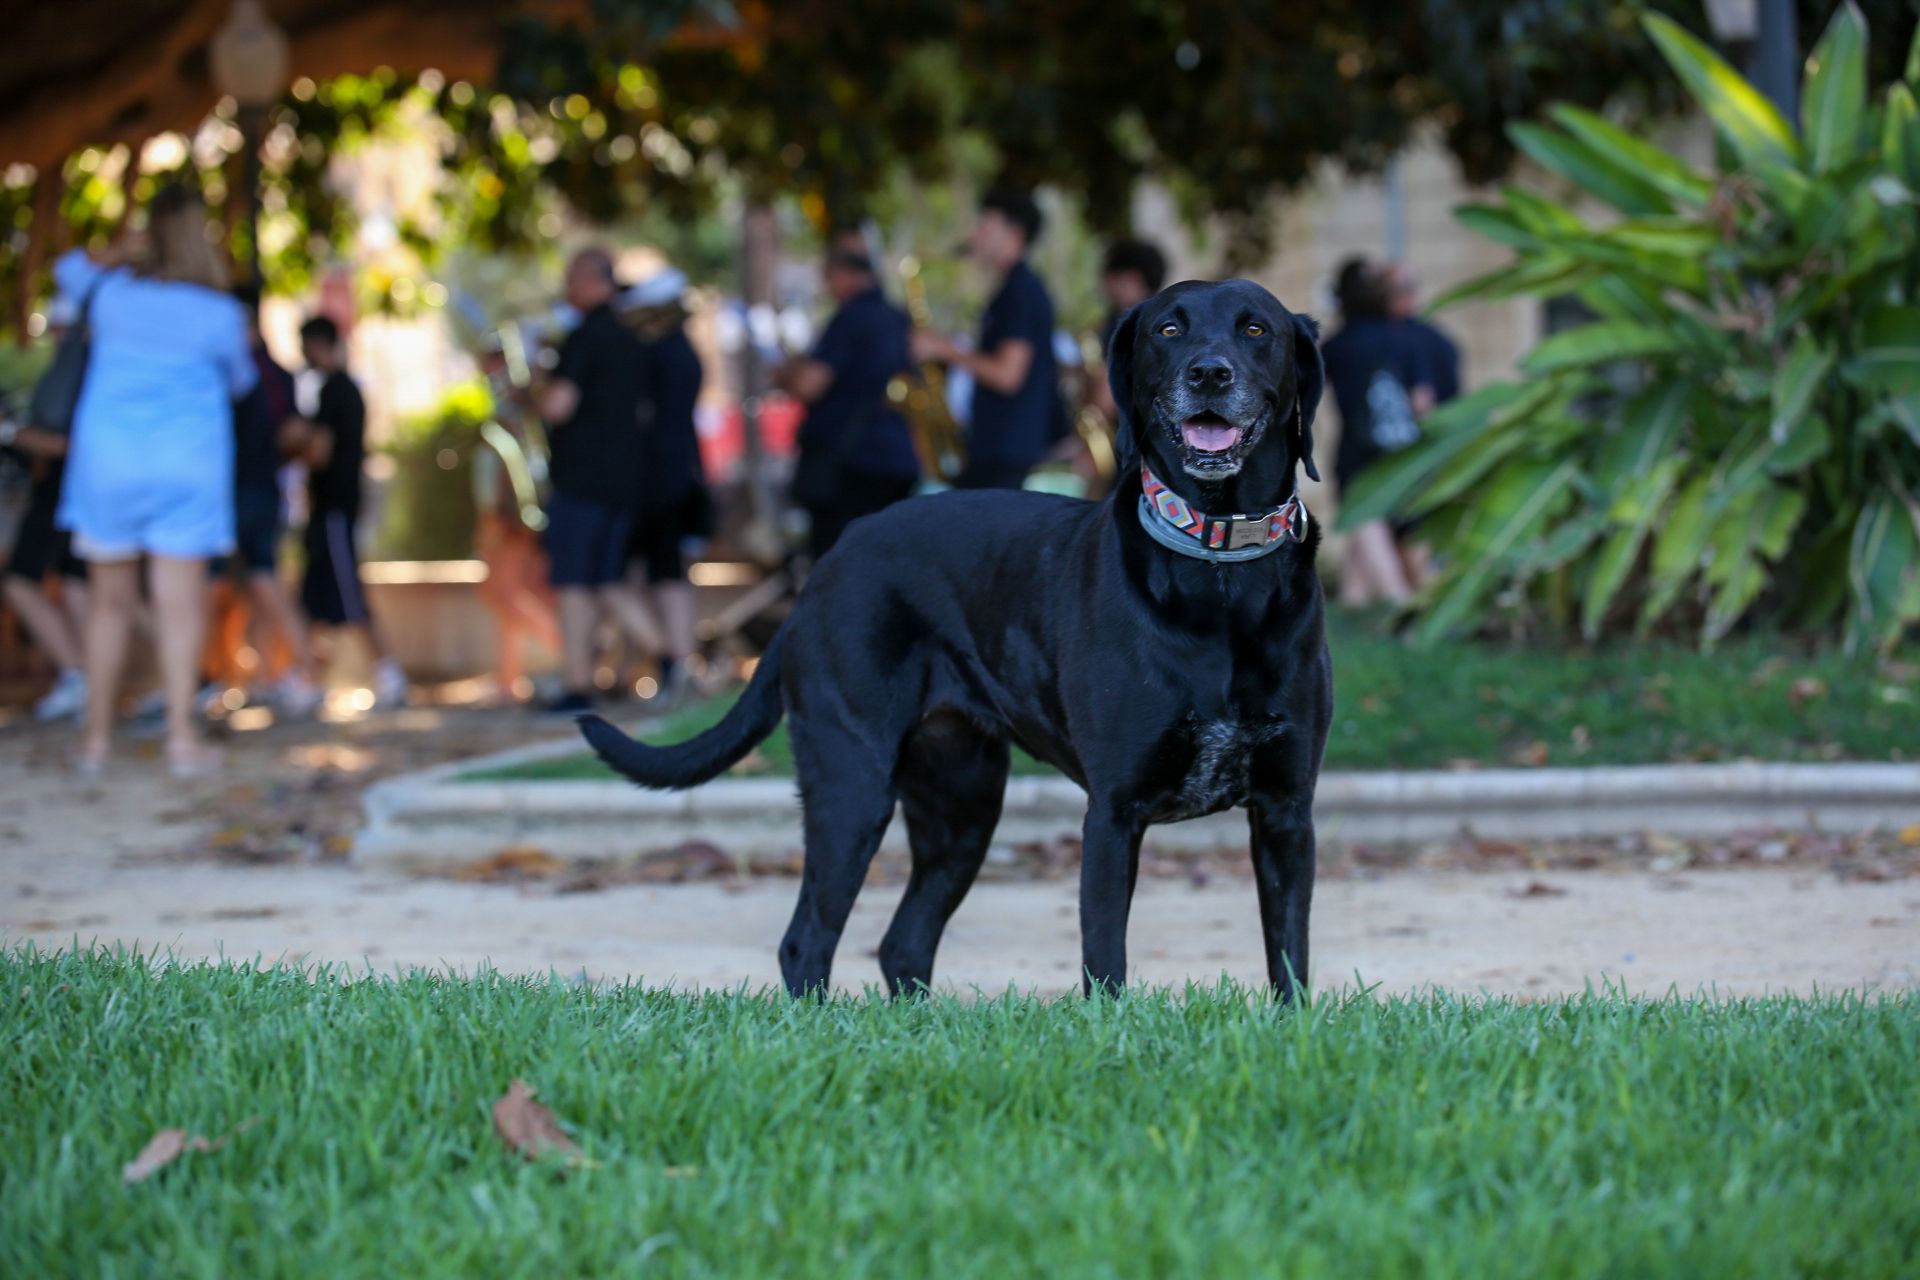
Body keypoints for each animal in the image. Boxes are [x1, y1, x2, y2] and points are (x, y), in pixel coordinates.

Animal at [583, 280, 1336, 997]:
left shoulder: (1287, 815)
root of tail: (824, 566)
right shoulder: (1113, 815)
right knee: (806, 943)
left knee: (903, 944)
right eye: (1169, 329)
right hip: (852, 786)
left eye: (1256, 329)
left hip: (962, 807)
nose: (1208, 373)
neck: (1217, 563)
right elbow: (1106, 965)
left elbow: (1291, 960)